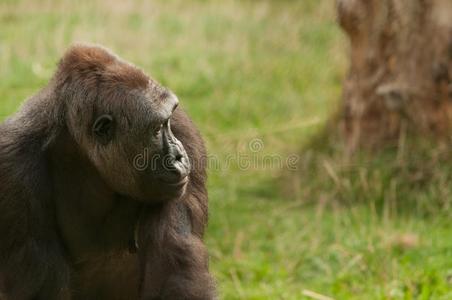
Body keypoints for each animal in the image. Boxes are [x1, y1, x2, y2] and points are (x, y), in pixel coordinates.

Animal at [0, 45, 216, 300]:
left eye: (168, 122)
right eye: (156, 129)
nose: (180, 155)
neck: (81, 150)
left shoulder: (185, 132)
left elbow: (175, 270)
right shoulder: (12, 166)